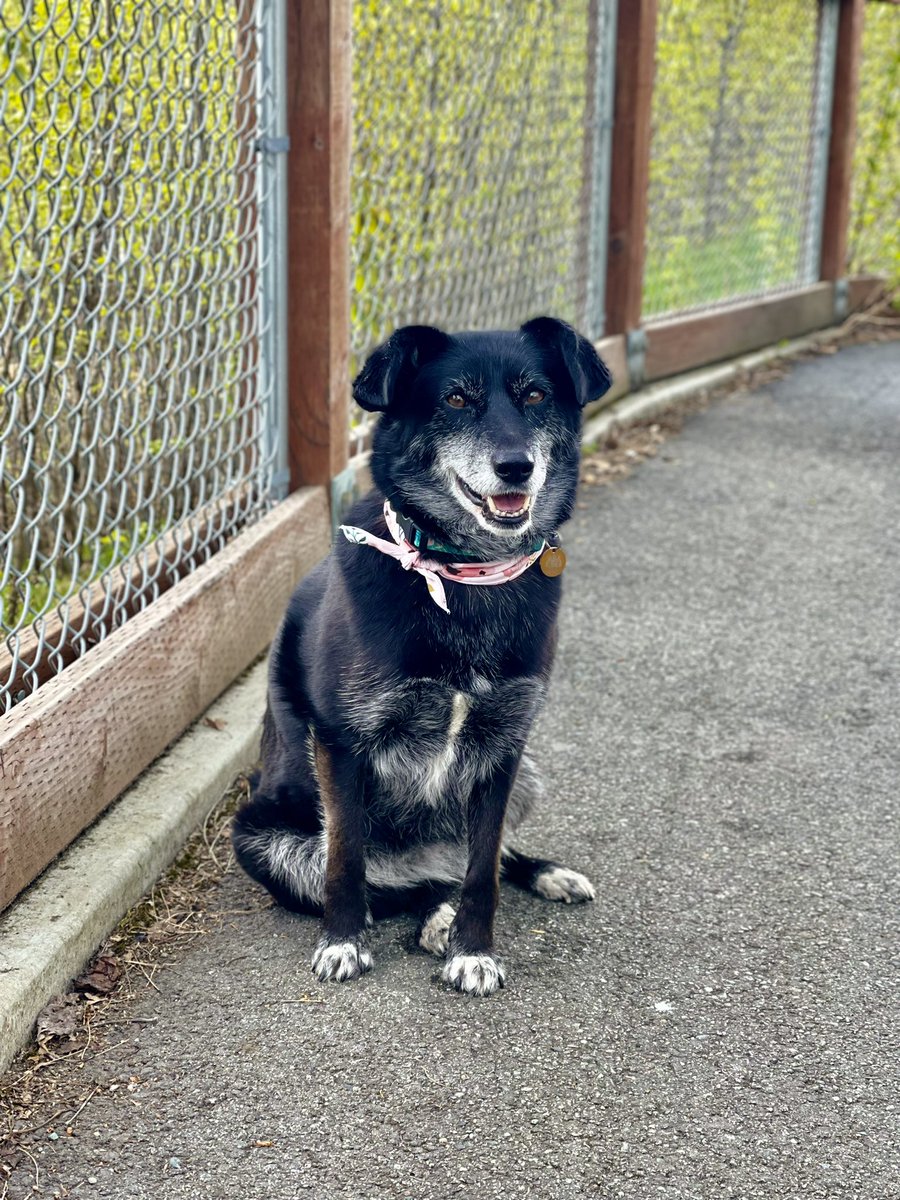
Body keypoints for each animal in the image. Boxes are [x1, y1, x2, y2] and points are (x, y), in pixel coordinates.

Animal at [232, 316, 614, 993]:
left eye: (535, 395)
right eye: (456, 399)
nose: (515, 467)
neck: (462, 574)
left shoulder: (505, 748)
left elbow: (484, 869)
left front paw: (473, 950)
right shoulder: (340, 744)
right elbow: (346, 862)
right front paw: (342, 942)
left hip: (529, 777)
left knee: (471, 867)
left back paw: (525, 882)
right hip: (260, 839)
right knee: (394, 885)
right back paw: (427, 913)